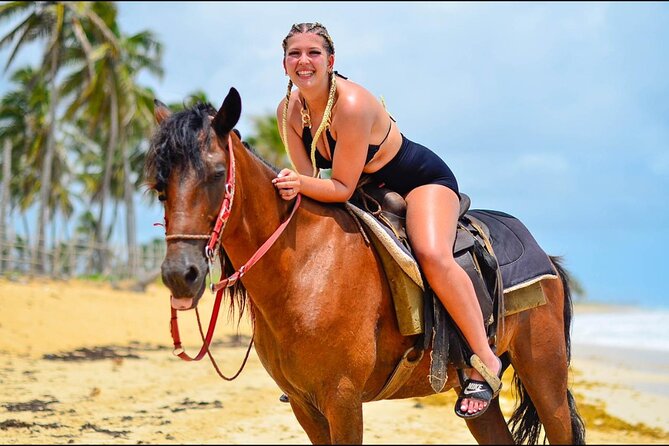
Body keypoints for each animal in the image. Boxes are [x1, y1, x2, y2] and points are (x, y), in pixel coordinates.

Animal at [145, 89, 584, 444]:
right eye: (160, 185)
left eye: (218, 174)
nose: (180, 275)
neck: (303, 266)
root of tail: (546, 257)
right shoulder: (304, 406)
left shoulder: (342, 398)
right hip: (481, 401)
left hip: (545, 377)